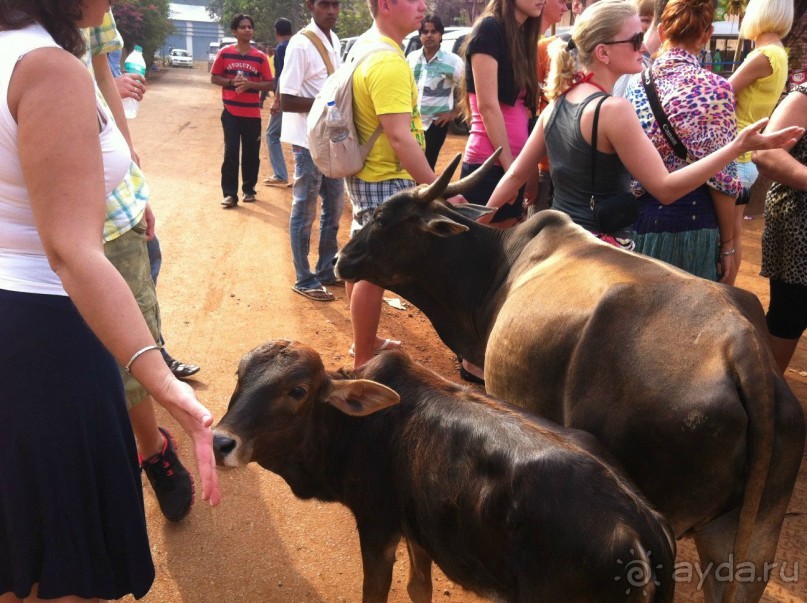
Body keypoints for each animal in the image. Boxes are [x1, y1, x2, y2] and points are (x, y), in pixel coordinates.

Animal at [213, 342, 676, 600]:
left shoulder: (378, 525)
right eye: (239, 374)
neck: (355, 429)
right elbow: (419, 588)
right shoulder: (419, 527)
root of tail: (643, 526)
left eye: (298, 391)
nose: (220, 442)